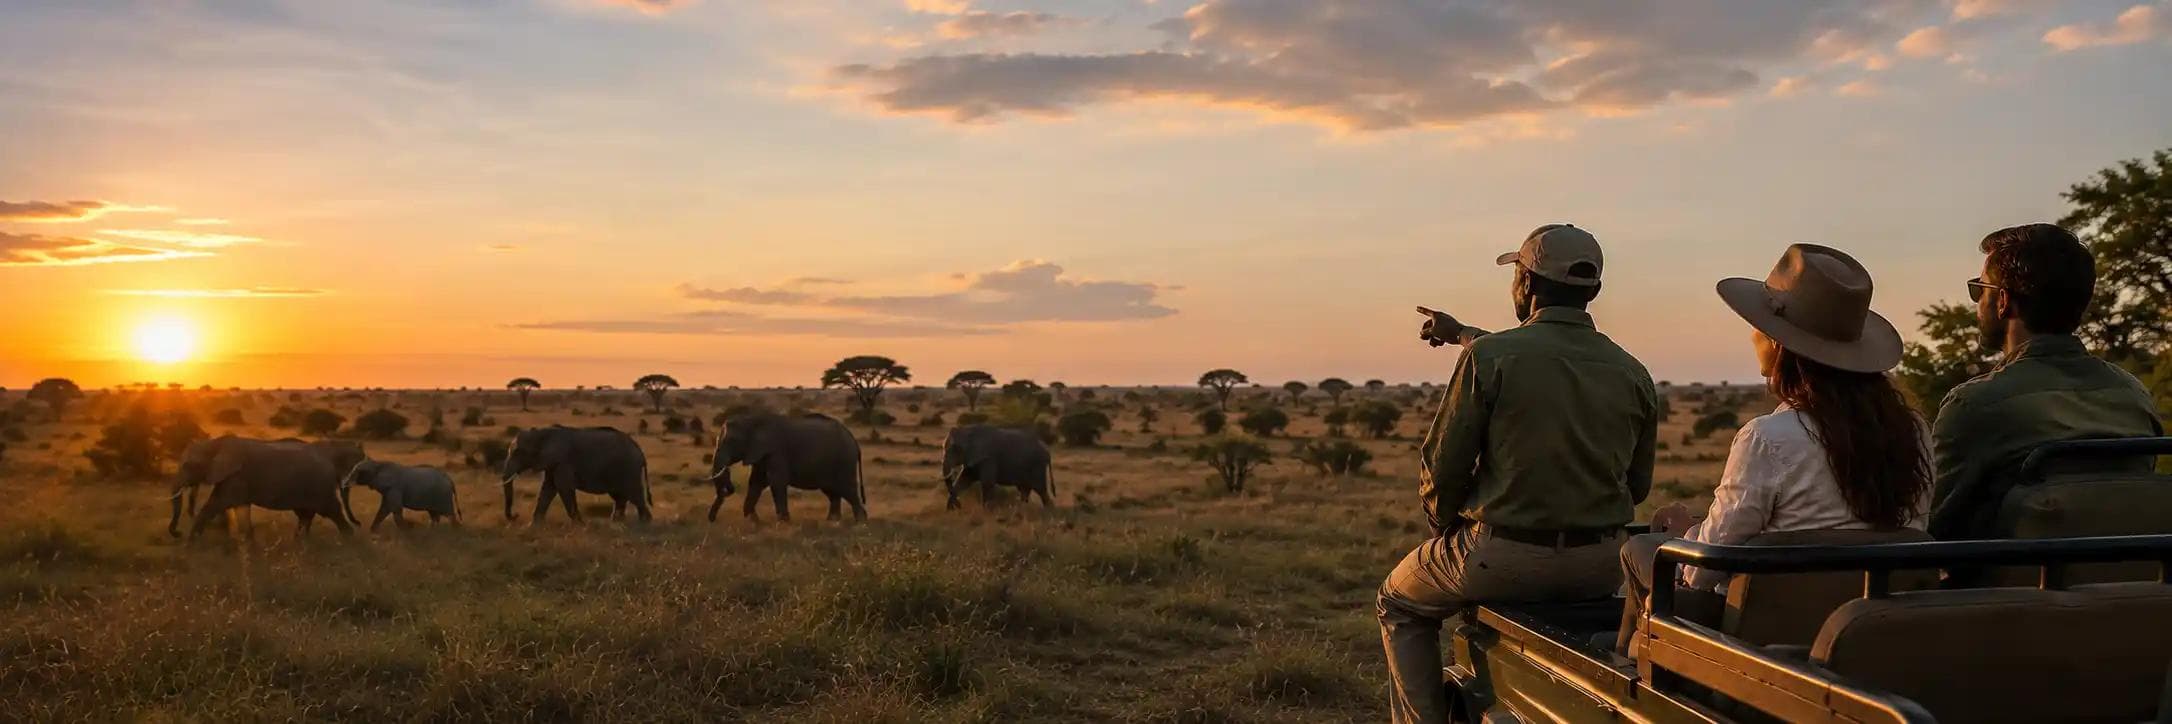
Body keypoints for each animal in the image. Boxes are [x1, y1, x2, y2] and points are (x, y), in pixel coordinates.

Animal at [169, 436, 366, 540]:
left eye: (187, 466)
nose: (177, 533)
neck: (215, 444)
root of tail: (329, 459)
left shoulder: (236, 477)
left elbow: (215, 505)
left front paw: (191, 546)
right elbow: (239, 509)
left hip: (320, 486)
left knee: (331, 511)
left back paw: (349, 542)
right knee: (305, 514)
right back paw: (301, 542)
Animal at [500, 425, 651, 524]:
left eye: (518, 452)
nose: (515, 515)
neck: (542, 433)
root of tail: (640, 451)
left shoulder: (562, 461)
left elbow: (564, 488)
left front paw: (580, 525)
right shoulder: (553, 464)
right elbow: (547, 489)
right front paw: (534, 526)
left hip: (629, 469)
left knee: (634, 495)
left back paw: (644, 524)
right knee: (620, 496)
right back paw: (617, 522)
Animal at [708, 412, 864, 522]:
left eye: (732, 441)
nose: (712, 520)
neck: (752, 420)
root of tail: (854, 440)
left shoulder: (776, 452)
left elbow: (776, 483)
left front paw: (783, 523)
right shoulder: (761, 454)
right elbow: (756, 483)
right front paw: (753, 522)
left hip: (844, 460)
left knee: (847, 489)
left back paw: (860, 522)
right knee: (833, 492)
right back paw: (833, 522)